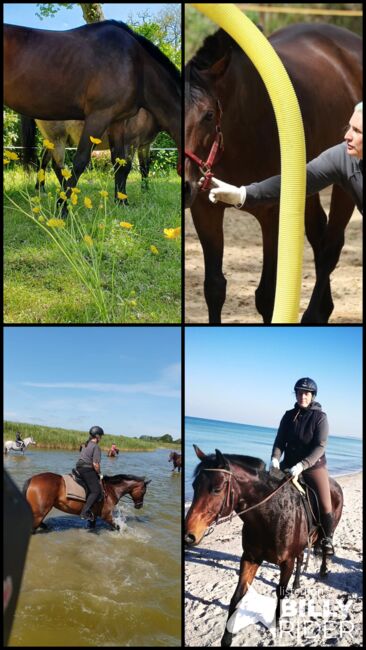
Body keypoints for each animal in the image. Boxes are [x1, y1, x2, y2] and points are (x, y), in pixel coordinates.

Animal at [20, 107, 160, 202]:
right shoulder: (130, 144)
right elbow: (124, 169)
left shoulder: (144, 146)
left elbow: (145, 168)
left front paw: (145, 191)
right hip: (57, 139)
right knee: (56, 165)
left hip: (50, 141)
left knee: (43, 161)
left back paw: (41, 189)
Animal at [22, 470, 152, 532]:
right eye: (144, 491)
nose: (139, 506)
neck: (111, 489)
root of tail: (32, 480)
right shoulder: (106, 515)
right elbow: (117, 527)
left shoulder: (94, 515)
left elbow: (92, 526)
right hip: (41, 511)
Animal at [186, 22, 364, 322]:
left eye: (209, 115)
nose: (186, 185)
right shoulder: (205, 211)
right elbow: (214, 288)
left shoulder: (274, 215)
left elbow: (267, 295)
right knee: (318, 234)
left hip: (341, 185)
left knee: (330, 247)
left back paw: (314, 314)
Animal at [186, 442, 344, 644]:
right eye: (194, 485)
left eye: (217, 488)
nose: (189, 535)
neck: (270, 515)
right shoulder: (250, 558)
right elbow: (237, 597)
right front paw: (227, 638)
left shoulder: (286, 562)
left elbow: (280, 592)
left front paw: (276, 624)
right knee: (301, 557)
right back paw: (297, 583)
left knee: (324, 549)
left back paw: (323, 570)